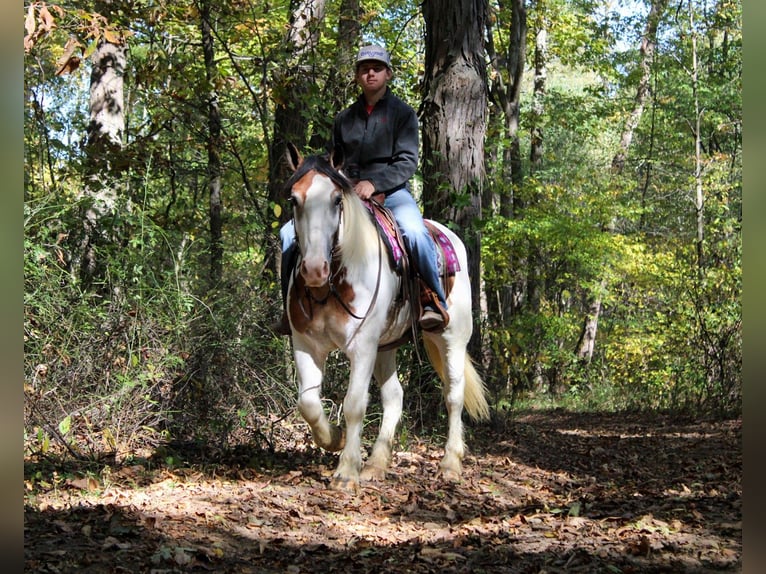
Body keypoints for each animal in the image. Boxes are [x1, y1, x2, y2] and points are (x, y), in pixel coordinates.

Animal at [284, 143, 492, 490]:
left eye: (337, 200)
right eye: (293, 199)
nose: (314, 270)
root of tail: (447, 235)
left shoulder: (362, 346)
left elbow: (354, 404)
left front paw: (346, 470)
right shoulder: (306, 345)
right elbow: (308, 404)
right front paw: (336, 439)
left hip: (451, 337)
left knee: (453, 395)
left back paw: (450, 463)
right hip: (387, 345)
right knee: (395, 396)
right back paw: (376, 463)